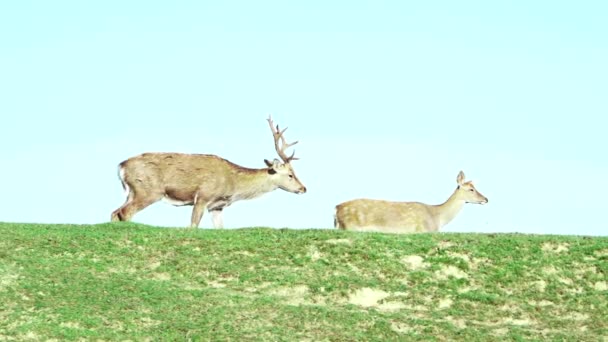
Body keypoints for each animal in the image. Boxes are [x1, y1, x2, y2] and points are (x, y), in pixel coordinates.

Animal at [111, 116, 306, 228]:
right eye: (290, 174)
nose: (303, 188)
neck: (232, 184)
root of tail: (121, 166)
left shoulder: (217, 206)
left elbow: (220, 228)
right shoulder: (203, 196)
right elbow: (192, 226)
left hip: (132, 192)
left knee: (115, 213)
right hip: (149, 191)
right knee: (125, 213)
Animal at [334, 172, 486, 234]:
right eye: (471, 189)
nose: (486, 199)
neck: (437, 219)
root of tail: (336, 209)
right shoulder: (423, 231)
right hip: (350, 226)